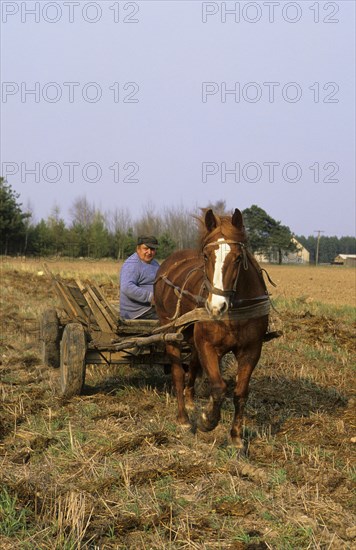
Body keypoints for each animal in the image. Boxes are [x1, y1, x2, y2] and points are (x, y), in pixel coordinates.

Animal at [154, 209, 272, 450]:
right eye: (207, 257)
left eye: (238, 258)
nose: (216, 307)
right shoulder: (207, 345)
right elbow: (218, 387)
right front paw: (207, 419)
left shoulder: (252, 349)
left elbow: (240, 392)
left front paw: (236, 437)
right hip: (170, 330)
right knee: (178, 373)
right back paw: (183, 418)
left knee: (193, 364)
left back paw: (190, 401)